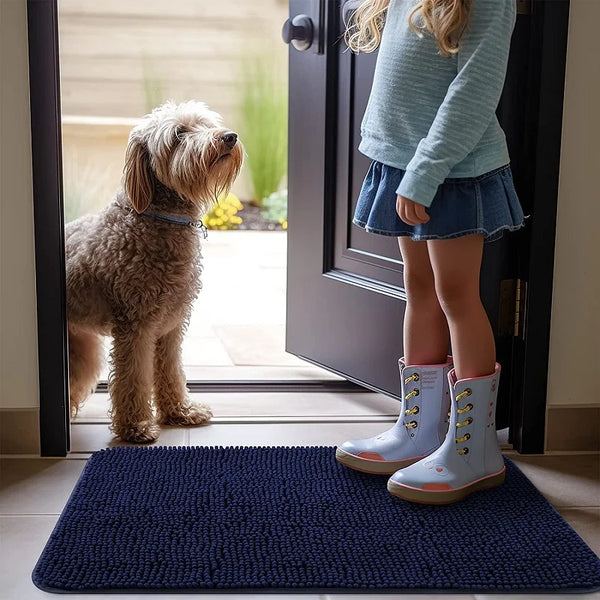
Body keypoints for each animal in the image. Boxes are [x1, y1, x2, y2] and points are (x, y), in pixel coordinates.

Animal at [66, 101, 244, 442]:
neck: (158, 218)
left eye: (205, 124)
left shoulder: (171, 326)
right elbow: (133, 379)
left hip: (82, 348)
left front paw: (180, 411)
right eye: (179, 134)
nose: (229, 136)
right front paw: (135, 426)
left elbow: (171, 370)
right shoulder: (134, 327)